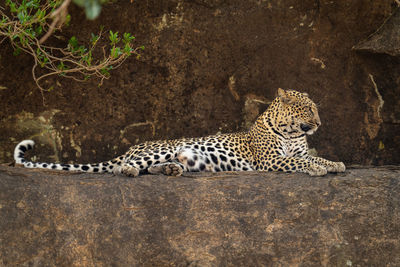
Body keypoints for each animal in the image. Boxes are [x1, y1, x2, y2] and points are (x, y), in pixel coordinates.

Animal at [12, 89, 344, 179]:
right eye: (307, 109)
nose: (319, 123)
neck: (291, 133)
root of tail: (131, 148)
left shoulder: (297, 150)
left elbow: (316, 157)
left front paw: (334, 164)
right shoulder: (270, 161)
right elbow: (298, 162)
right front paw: (318, 169)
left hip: (181, 157)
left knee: (157, 167)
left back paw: (171, 170)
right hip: (157, 149)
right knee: (123, 167)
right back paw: (128, 170)